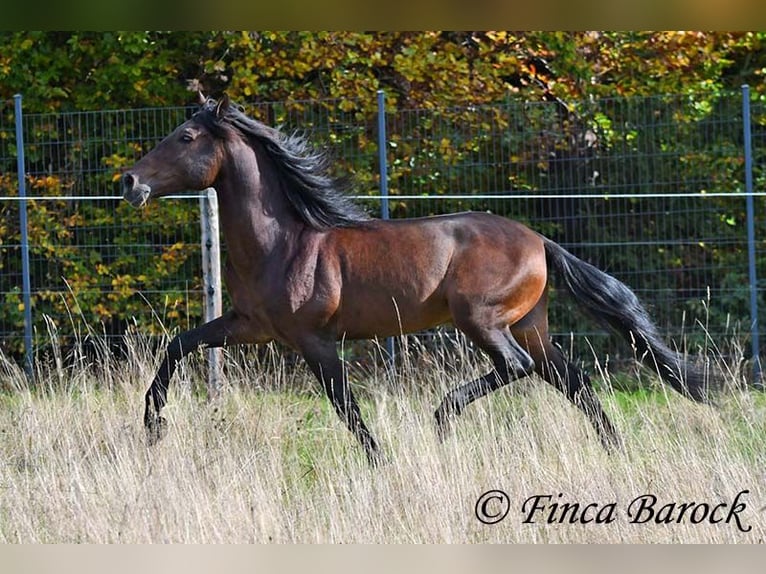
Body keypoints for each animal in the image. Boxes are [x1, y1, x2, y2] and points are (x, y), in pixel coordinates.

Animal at [122, 94, 710, 465]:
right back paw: (616, 451)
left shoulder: (314, 341)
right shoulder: (250, 326)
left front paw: (380, 462)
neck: (284, 244)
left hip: (482, 320)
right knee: (573, 381)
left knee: (518, 368)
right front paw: (153, 427)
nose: (129, 182)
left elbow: (345, 406)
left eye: (186, 136)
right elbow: (179, 345)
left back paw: (442, 420)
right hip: (531, 326)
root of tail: (539, 241)